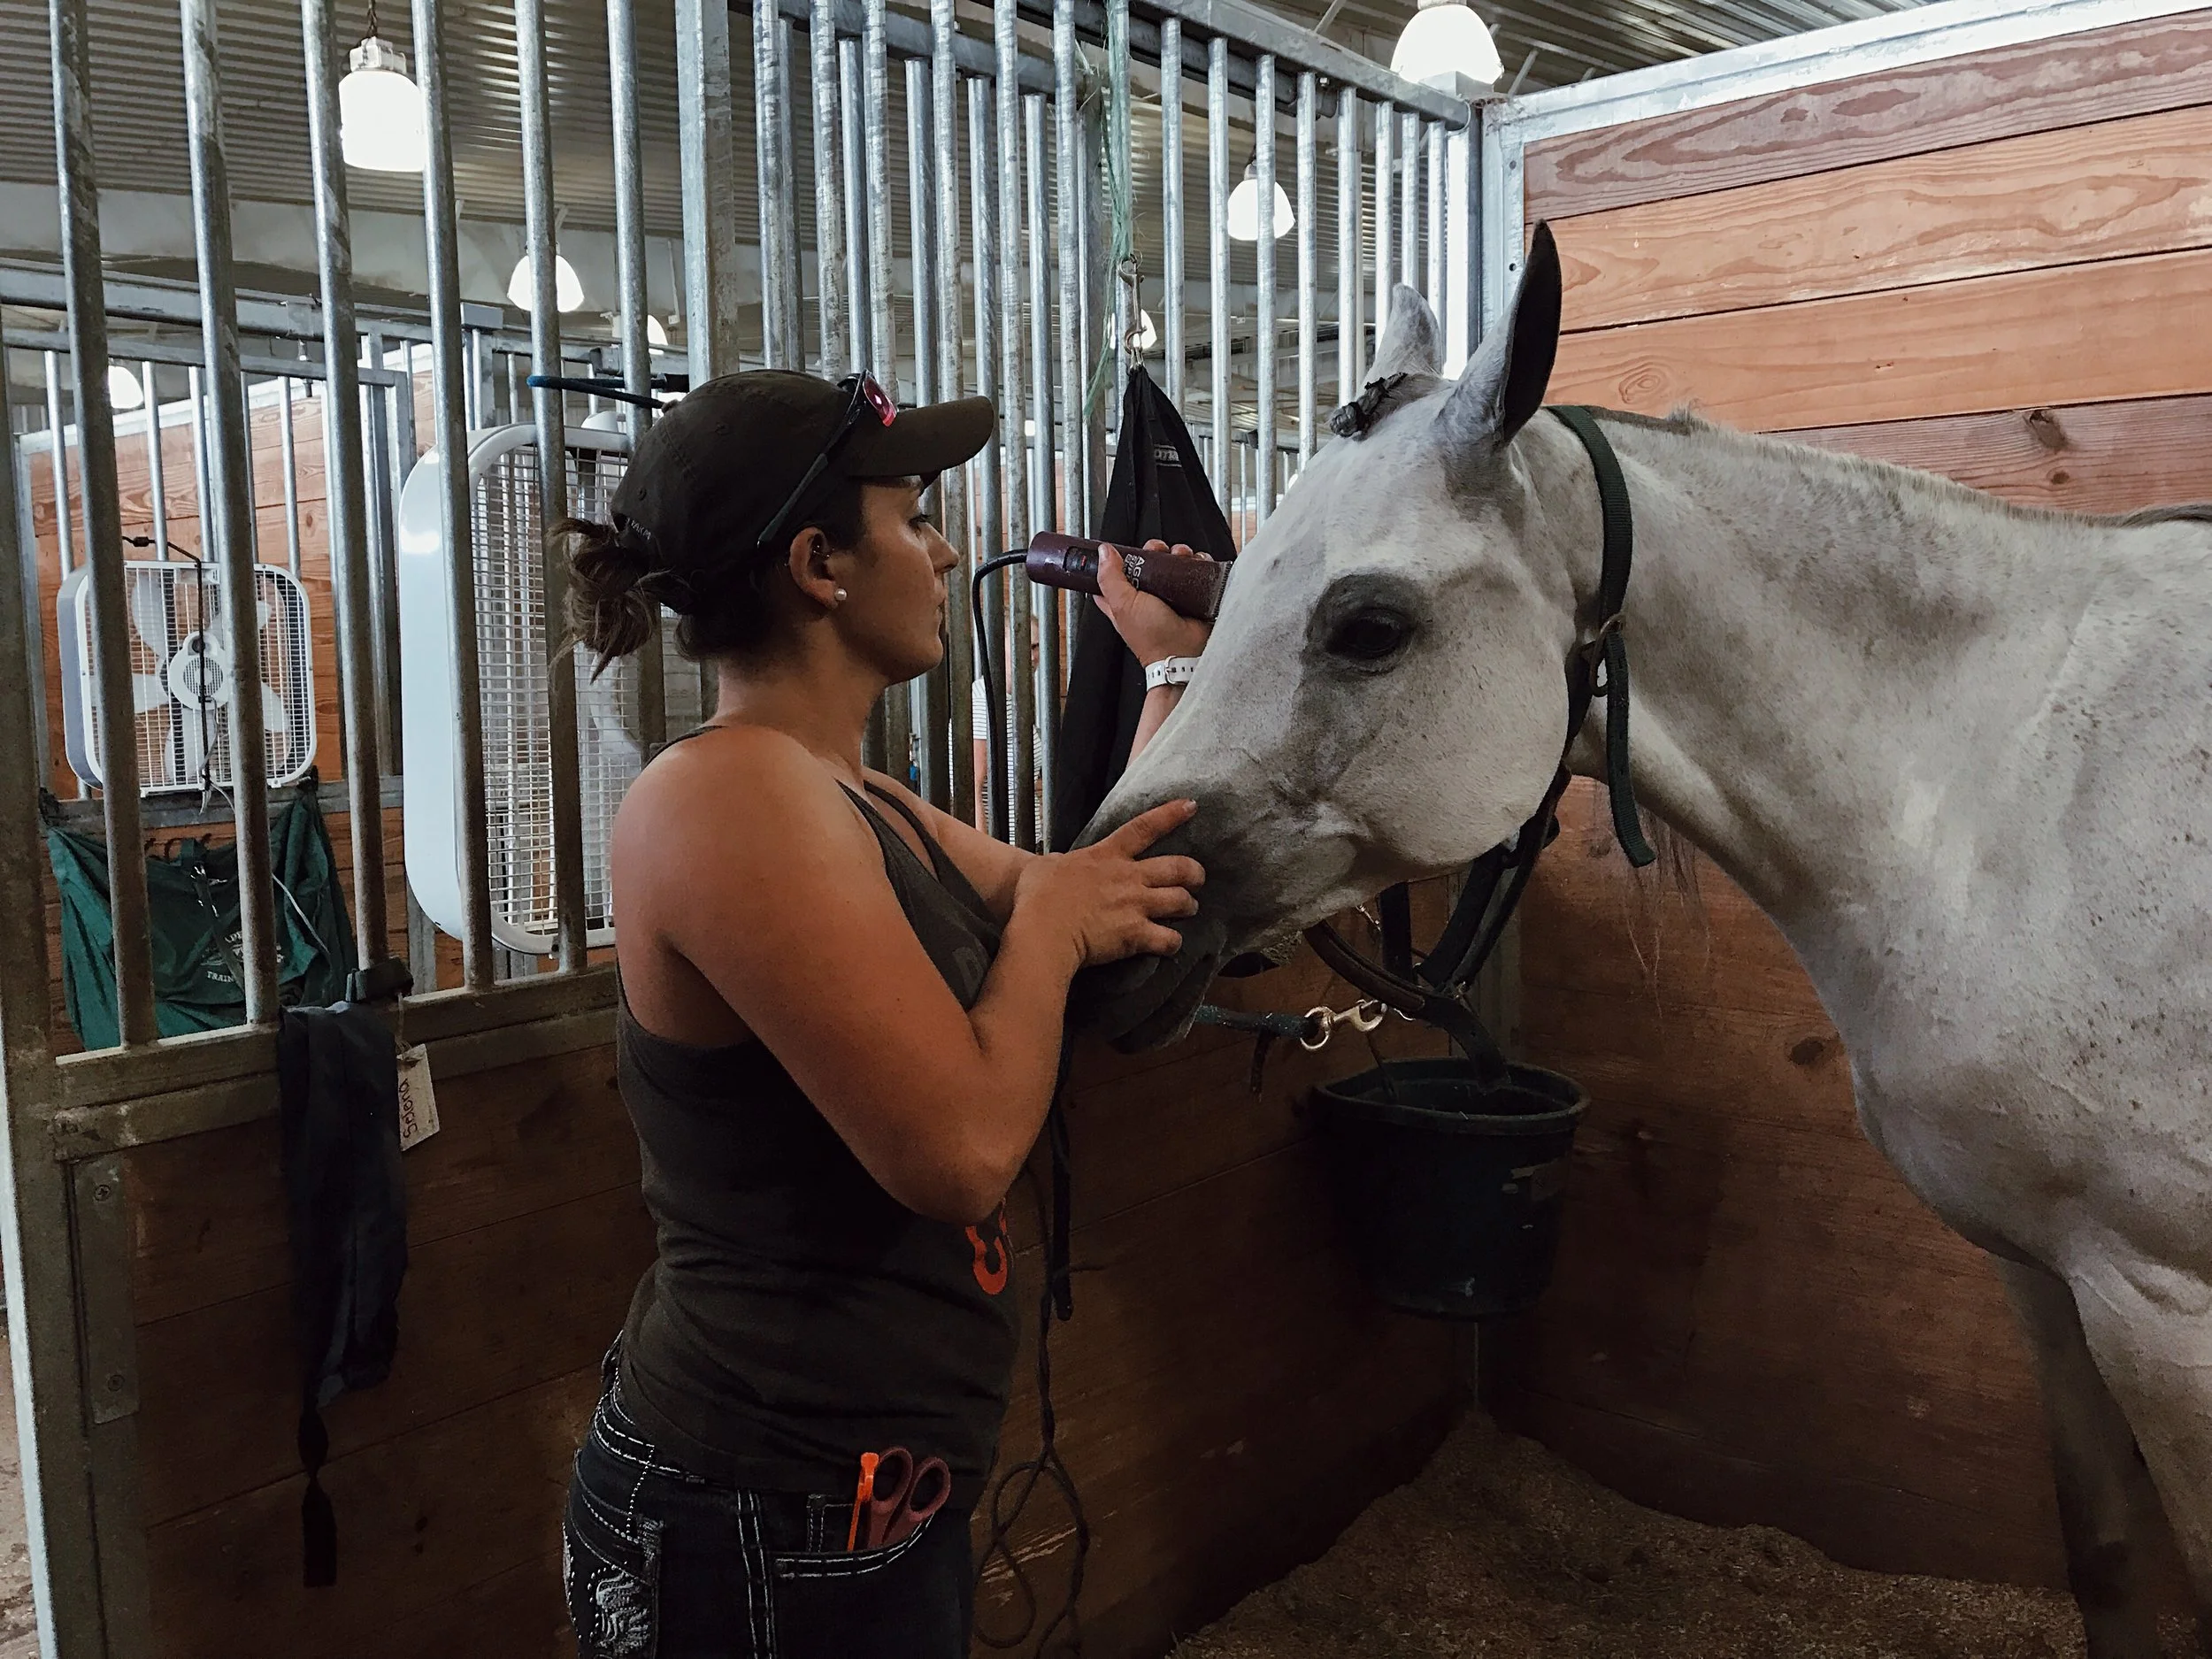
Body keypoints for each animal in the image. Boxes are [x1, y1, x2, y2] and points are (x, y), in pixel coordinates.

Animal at [1079, 223, 2212, 1657]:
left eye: (1369, 625)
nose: (1104, 942)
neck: (2004, 790)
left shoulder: (2166, 1305)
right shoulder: (2052, 1276)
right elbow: (2108, 1560)